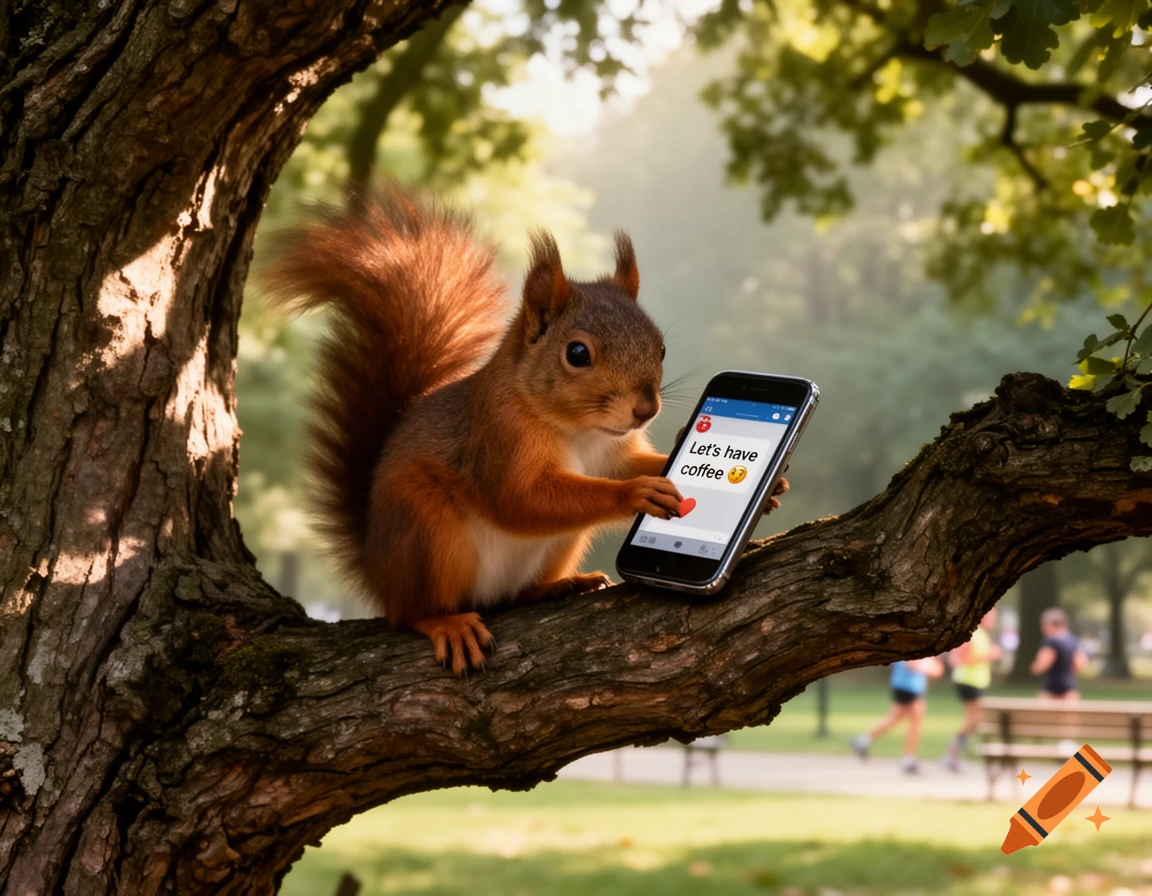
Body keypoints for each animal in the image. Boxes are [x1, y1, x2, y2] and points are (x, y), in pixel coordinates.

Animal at [265, 186, 688, 674]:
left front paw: (682, 452)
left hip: (558, 544)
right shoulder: (497, 441)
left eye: (661, 347)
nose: (645, 409)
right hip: (427, 530)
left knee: (515, 595)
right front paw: (636, 493)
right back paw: (447, 623)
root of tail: (377, 568)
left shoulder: (611, 454)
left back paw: (556, 586)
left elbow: (627, 466)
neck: (581, 430)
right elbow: (520, 499)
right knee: (410, 613)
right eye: (577, 353)